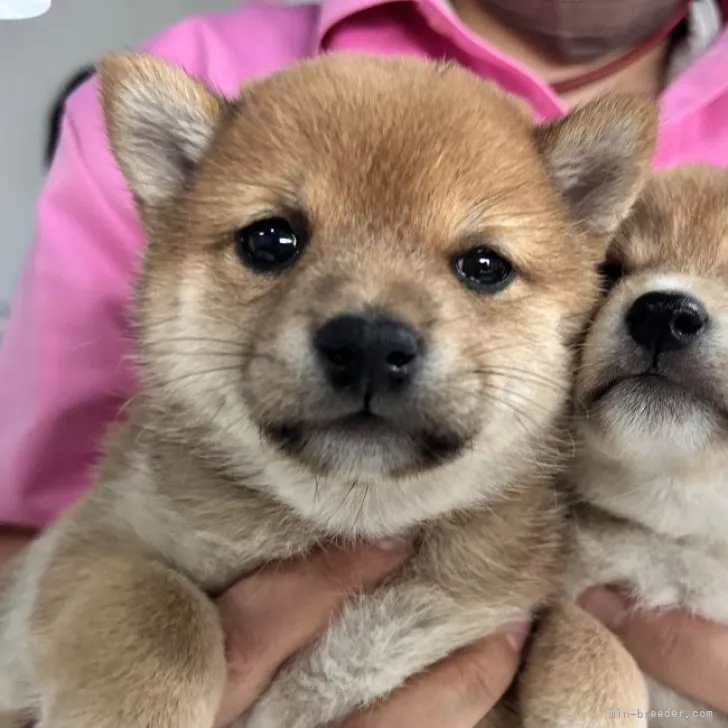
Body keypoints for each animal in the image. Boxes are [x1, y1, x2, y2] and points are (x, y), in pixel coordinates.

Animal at [0, 52, 656, 728]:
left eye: (484, 266)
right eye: (270, 240)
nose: (370, 345)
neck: (349, 519)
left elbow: (576, 634)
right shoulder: (90, 543)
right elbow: (161, 608)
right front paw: (140, 706)